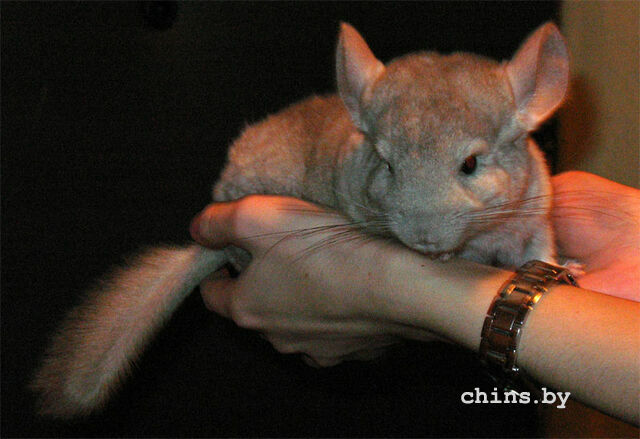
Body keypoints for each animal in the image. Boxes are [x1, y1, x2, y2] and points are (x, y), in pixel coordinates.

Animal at [32, 22, 569, 418]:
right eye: (386, 163)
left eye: (471, 164)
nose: (424, 239)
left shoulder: (537, 216)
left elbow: (541, 252)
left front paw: (571, 269)